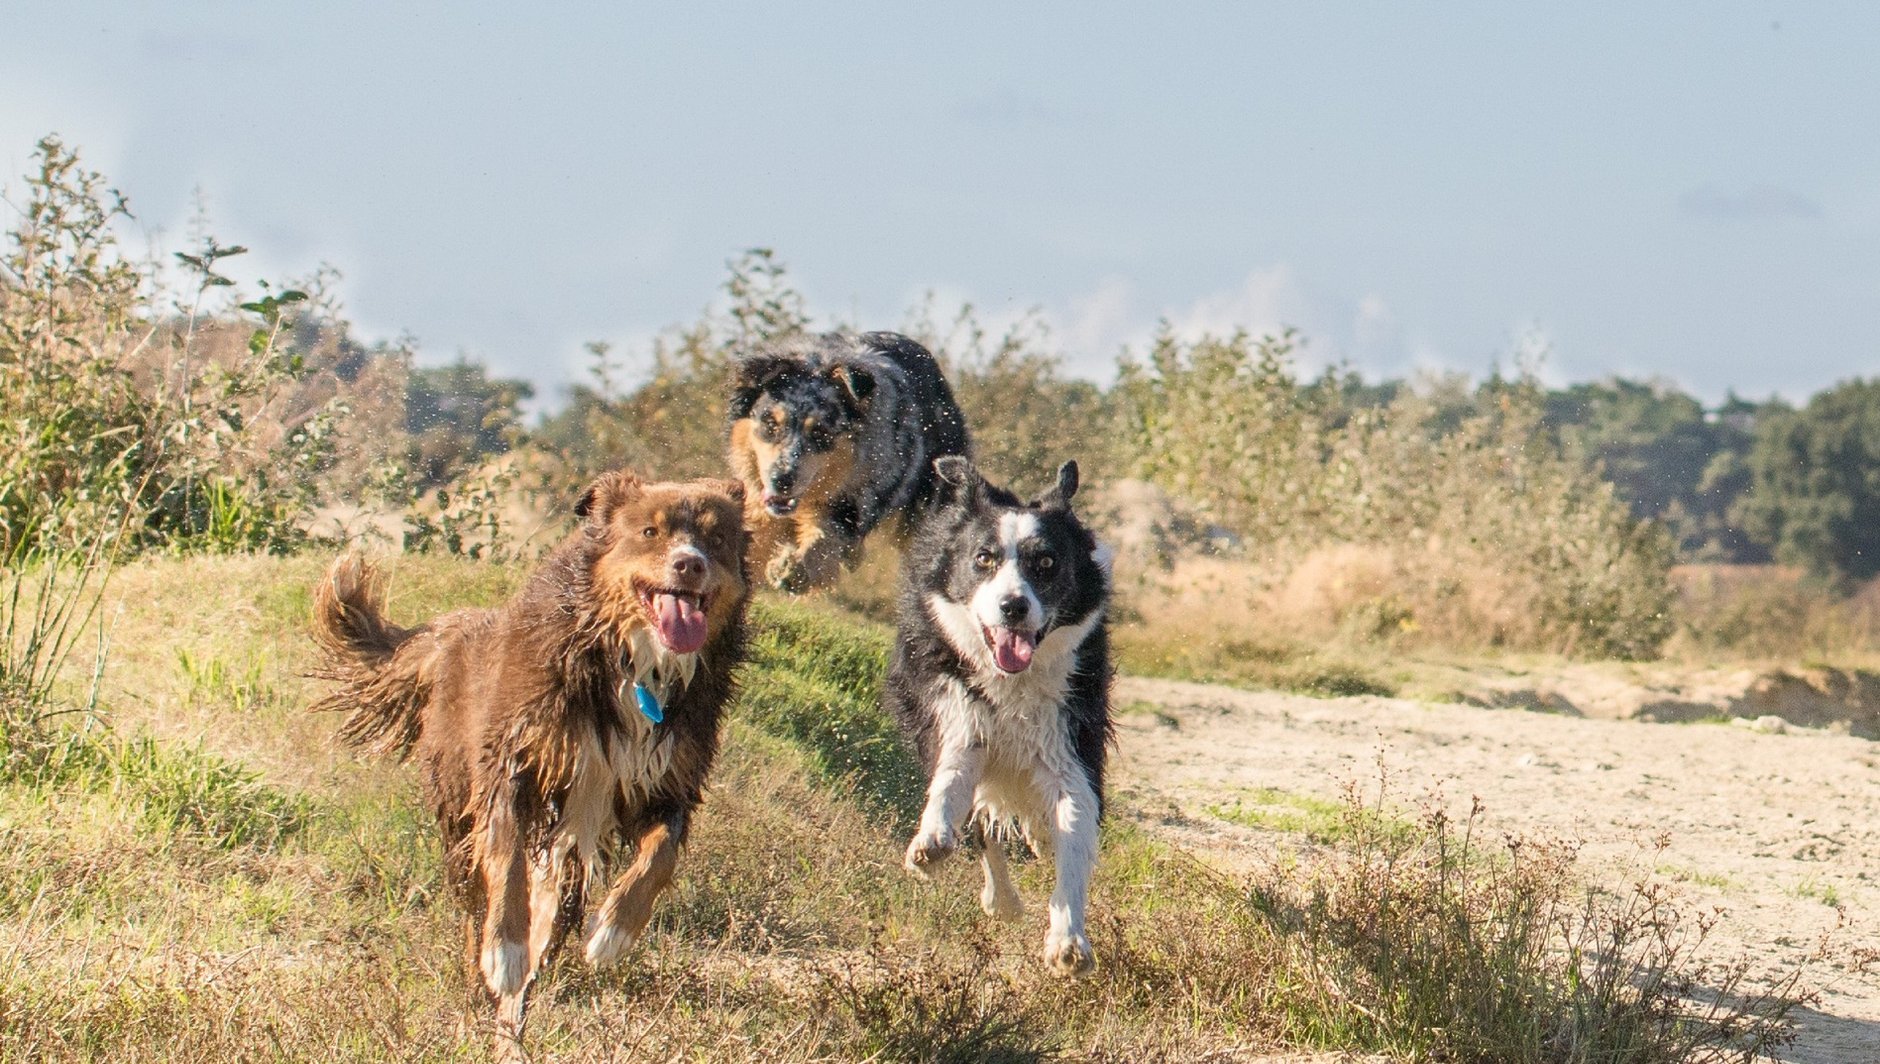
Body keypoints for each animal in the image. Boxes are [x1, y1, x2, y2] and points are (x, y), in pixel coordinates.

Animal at [308, 475, 748, 1060]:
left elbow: (660, 856)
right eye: (650, 532)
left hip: (566, 861)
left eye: (716, 539)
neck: (629, 664)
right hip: (458, 815)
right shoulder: (514, 766)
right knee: (475, 904)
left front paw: (613, 933)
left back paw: (511, 1031)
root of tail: (454, 628)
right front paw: (505, 950)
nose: (689, 564)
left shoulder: (669, 782)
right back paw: (485, 979)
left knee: (544, 935)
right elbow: (508, 861)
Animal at [725, 334, 970, 597]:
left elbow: (823, 542)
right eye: (770, 423)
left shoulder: (850, 506)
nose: (781, 479)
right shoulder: (759, 508)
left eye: (820, 432)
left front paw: (791, 569)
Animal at [883, 454, 1105, 977]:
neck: (1012, 684)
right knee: (983, 822)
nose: (1013, 606)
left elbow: (1075, 826)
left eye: (1046, 564)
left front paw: (1069, 941)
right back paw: (1001, 899)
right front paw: (931, 841)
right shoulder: (958, 712)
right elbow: (954, 782)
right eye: (983, 559)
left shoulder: (1070, 732)